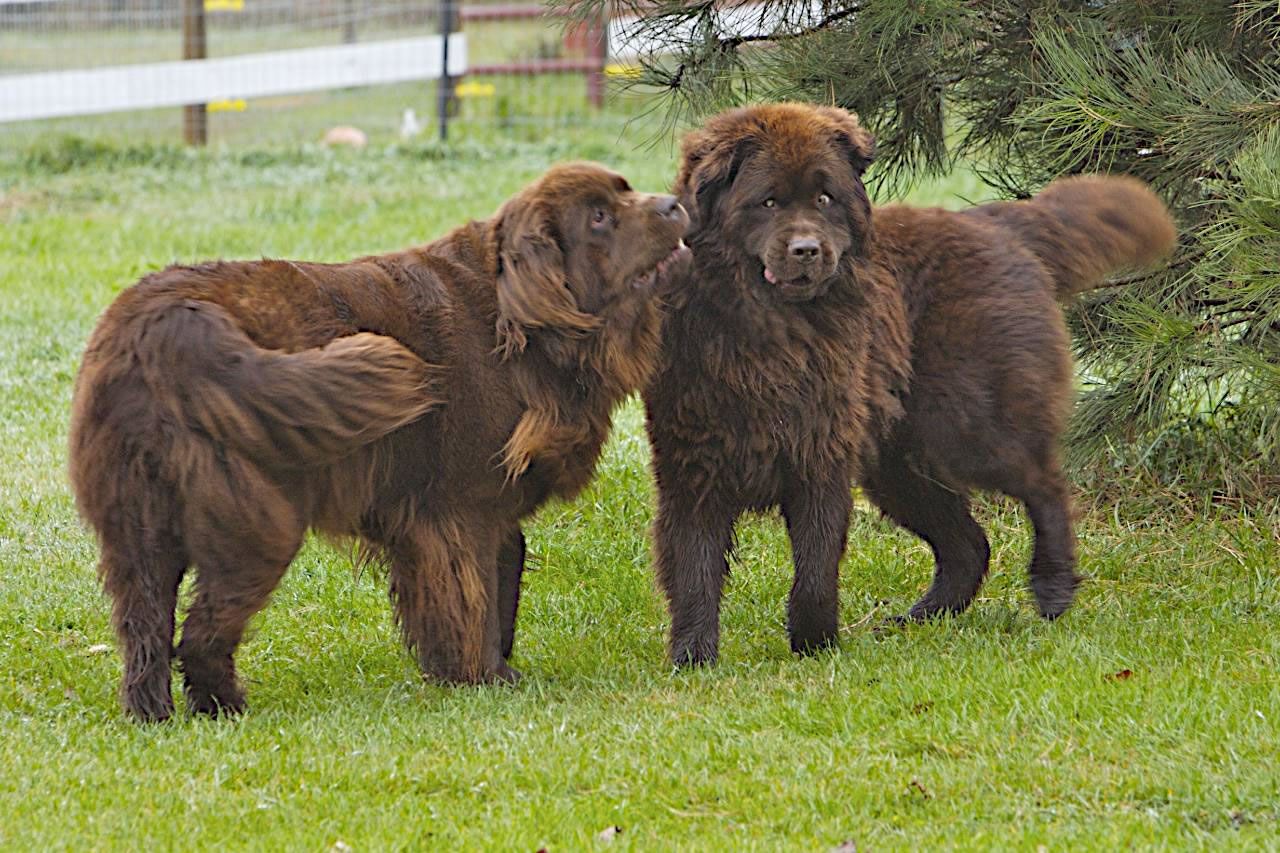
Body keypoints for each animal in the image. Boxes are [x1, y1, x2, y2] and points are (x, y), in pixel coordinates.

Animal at [67, 161, 691, 717]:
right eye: (599, 217)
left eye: (626, 191)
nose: (673, 205)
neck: (518, 323)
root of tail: (169, 323)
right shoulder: (458, 512)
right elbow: (475, 597)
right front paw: (481, 677)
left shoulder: (479, 513)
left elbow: (505, 576)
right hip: (257, 523)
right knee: (202, 631)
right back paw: (224, 706)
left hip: (137, 528)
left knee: (145, 629)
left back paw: (153, 712)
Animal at [645, 103, 1172, 666]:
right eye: (767, 202)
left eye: (824, 198)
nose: (807, 250)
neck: (773, 334)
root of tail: (996, 223)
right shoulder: (693, 470)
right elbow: (694, 572)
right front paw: (693, 659)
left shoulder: (821, 459)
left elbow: (815, 568)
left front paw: (815, 645)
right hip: (900, 463)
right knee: (968, 544)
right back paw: (920, 618)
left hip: (969, 427)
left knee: (1045, 484)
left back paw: (1052, 587)